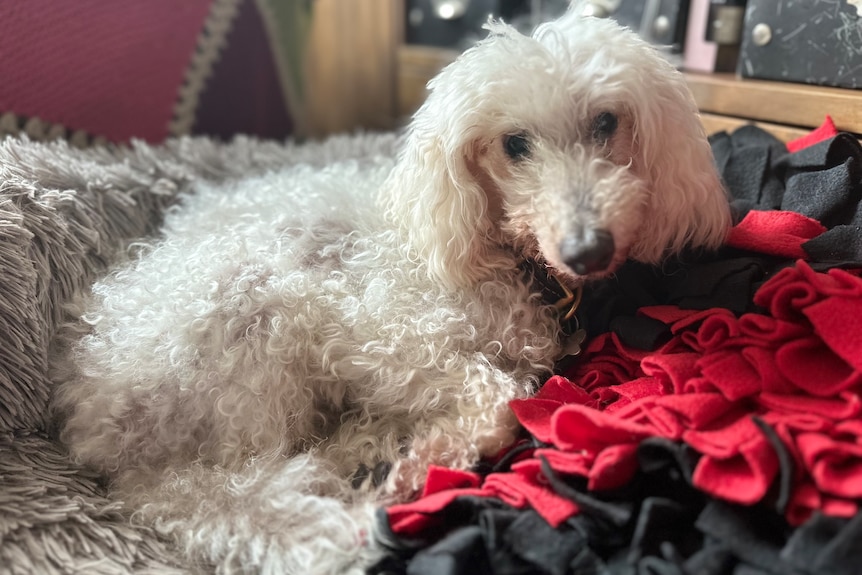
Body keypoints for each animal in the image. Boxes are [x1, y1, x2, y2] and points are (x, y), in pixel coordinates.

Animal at [50, 5, 732, 575]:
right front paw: (429, 451)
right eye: (514, 144)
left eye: (606, 122)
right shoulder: (376, 334)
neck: (497, 254)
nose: (589, 249)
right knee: (248, 474)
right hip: (253, 313)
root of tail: (106, 446)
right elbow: (500, 400)